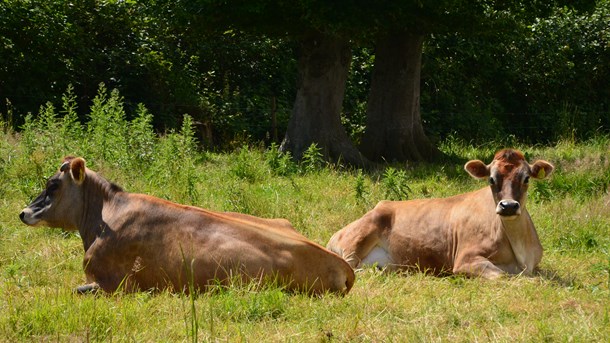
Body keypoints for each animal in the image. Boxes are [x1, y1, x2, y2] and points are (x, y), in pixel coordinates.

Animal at [326, 150, 552, 280]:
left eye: (526, 178)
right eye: (491, 179)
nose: (508, 206)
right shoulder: (464, 260)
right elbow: (506, 277)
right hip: (356, 241)